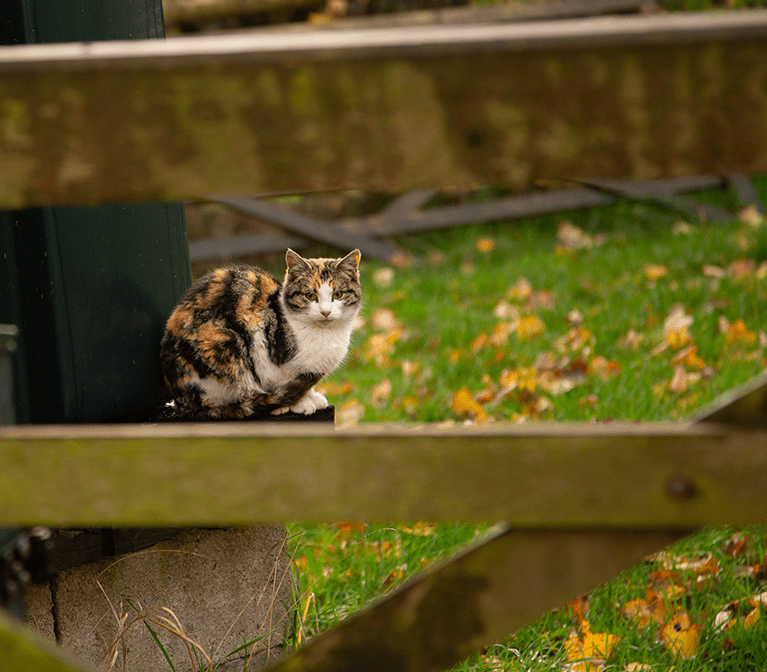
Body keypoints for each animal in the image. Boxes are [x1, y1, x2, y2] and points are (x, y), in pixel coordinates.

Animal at [158, 251, 362, 420]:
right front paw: (298, 403)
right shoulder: (269, 350)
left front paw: (311, 397)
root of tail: (181, 400)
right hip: (221, 343)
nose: (326, 312)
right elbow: (284, 379)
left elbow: (305, 382)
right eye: (310, 296)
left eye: (338, 294)